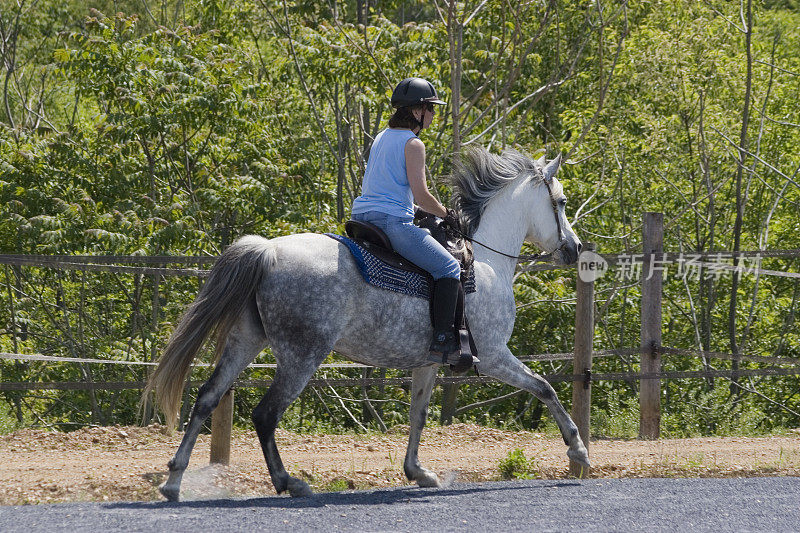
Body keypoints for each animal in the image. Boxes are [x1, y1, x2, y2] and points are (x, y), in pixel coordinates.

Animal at [144, 145, 592, 498]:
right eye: (561, 201)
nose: (574, 248)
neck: (482, 261)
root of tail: (268, 251)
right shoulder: (495, 356)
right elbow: (546, 388)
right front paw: (578, 450)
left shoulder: (429, 362)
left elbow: (418, 414)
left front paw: (418, 472)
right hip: (301, 356)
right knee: (264, 415)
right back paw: (289, 482)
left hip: (246, 341)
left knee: (207, 398)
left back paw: (174, 481)